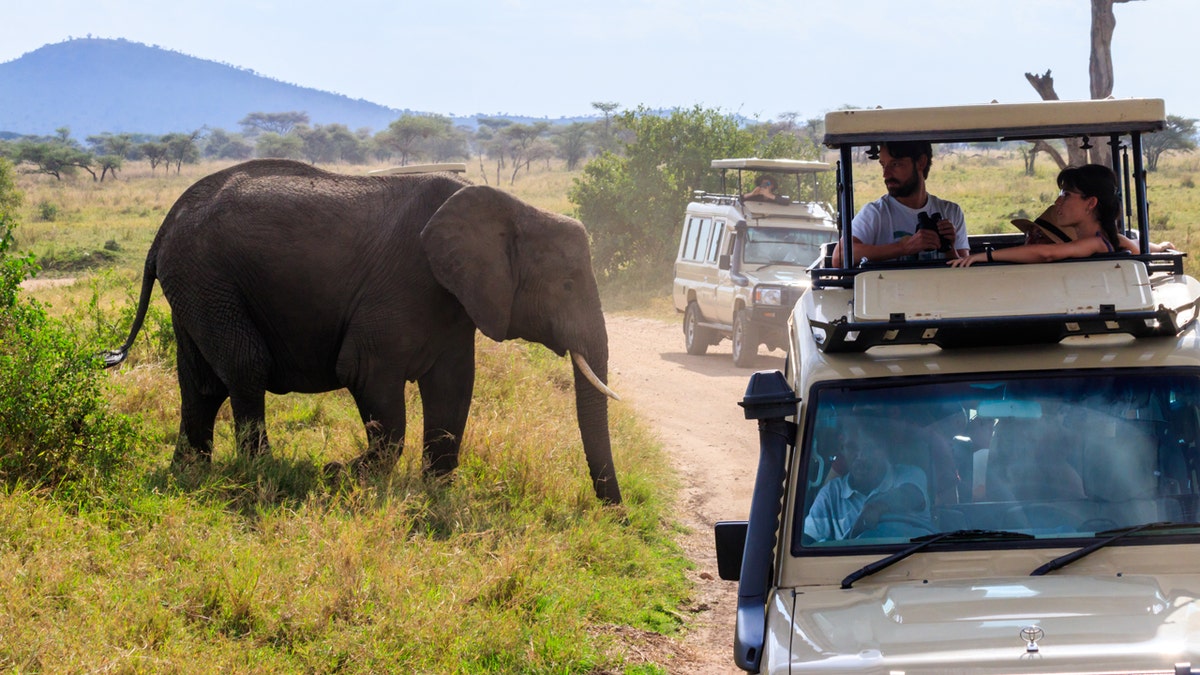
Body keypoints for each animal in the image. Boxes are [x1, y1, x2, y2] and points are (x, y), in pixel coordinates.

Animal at [104, 158, 622, 504]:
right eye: (567, 284)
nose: (615, 513)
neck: (515, 208)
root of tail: (164, 225)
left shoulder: (455, 300)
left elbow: (454, 388)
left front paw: (435, 493)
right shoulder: (404, 285)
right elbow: (367, 376)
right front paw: (337, 475)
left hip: (195, 286)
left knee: (201, 385)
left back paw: (188, 474)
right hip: (209, 279)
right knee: (246, 369)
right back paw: (263, 474)